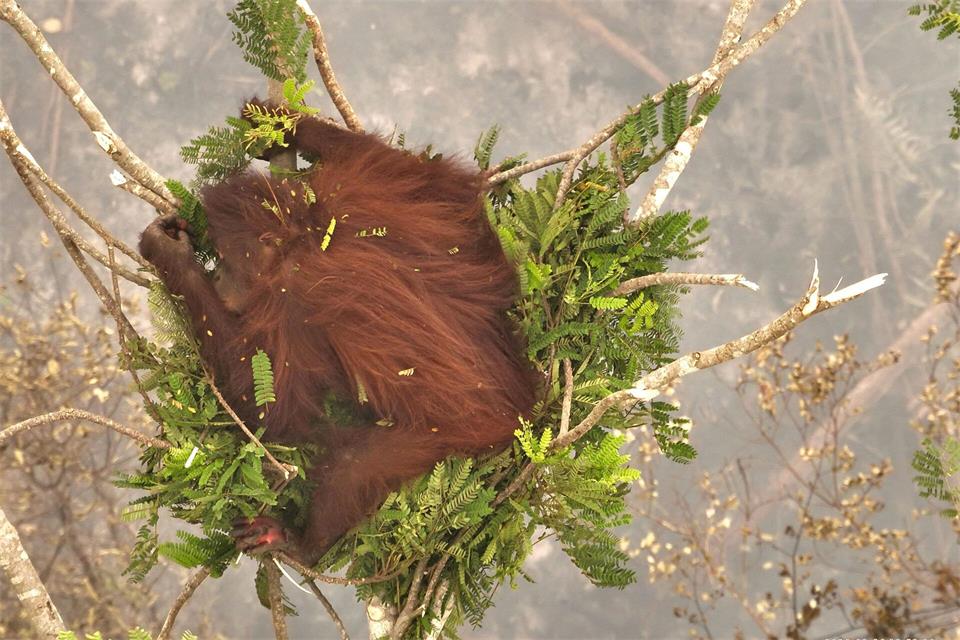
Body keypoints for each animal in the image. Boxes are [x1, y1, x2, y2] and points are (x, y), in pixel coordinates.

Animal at [139, 104, 538, 565]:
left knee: (356, 461)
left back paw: (302, 544)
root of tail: (522, 402)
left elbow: (275, 410)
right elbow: (432, 181)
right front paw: (282, 123)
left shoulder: (294, 295)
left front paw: (170, 256)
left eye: (222, 258)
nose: (217, 278)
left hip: (460, 429)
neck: (307, 231)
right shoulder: (362, 190)